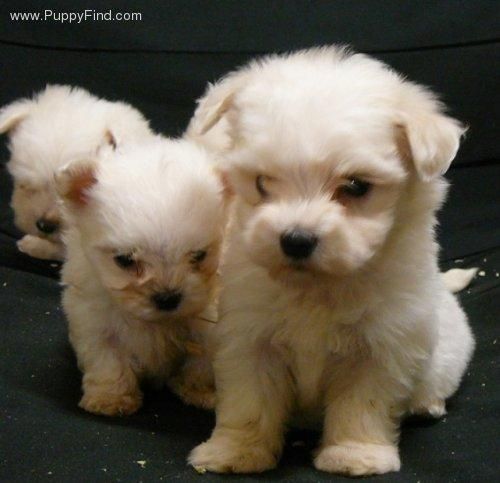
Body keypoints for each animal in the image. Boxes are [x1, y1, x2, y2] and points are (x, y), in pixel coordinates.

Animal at [56, 136, 227, 416]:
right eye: (125, 260)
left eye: (199, 255)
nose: (168, 298)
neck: (155, 322)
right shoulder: (95, 324)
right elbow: (108, 361)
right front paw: (110, 399)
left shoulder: (208, 327)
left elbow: (200, 363)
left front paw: (198, 392)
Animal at [189, 47, 474, 478]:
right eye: (261, 183)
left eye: (356, 186)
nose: (295, 239)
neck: (317, 286)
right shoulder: (248, 337)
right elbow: (249, 400)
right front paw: (235, 451)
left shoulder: (381, 345)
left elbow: (362, 405)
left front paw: (355, 455)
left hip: (447, 353)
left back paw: (428, 403)